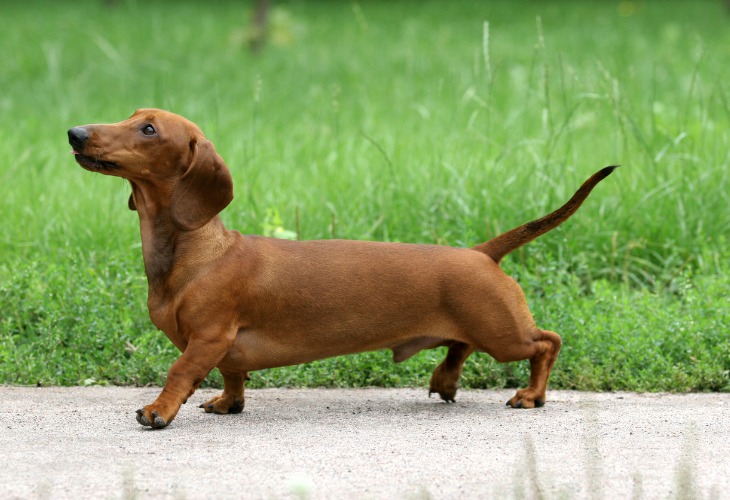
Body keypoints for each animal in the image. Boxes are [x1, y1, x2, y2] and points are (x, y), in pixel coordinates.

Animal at [68, 110, 616, 430]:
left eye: (148, 129)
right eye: (132, 116)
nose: (74, 132)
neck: (198, 251)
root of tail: (480, 253)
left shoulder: (208, 336)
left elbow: (180, 371)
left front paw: (158, 411)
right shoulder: (225, 347)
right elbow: (233, 374)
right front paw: (228, 403)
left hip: (502, 333)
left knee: (547, 342)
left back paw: (532, 395)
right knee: (460, 347)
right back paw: (445, 380)